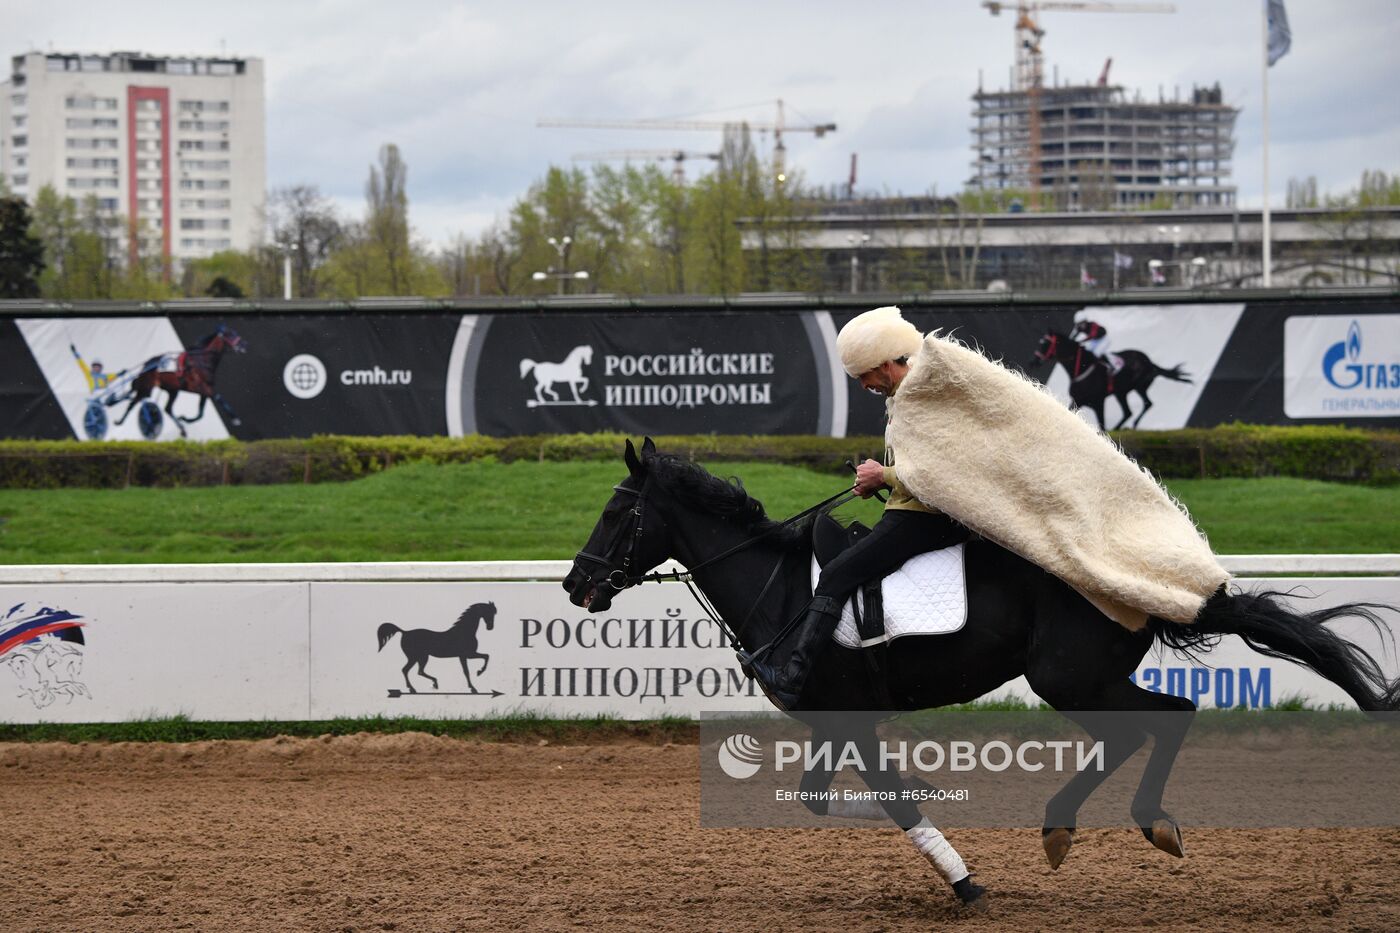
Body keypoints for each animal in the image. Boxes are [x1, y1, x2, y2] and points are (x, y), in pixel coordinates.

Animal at [114, 323, 249, 437]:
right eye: (229, 334)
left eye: (235, 332)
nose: (244, 345)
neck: (201, 361)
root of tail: (147, 364)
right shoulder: (202, 387)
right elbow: (218, 398)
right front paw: (235, 418)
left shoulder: (204, 391)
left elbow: (200, 413)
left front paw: (185, 419)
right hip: (145, 388)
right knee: (132, 403)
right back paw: (120, 421)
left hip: (172, 390)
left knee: (167, 409)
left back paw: (182, 429)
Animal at [562, 442, 1394, 902]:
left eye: (615, 513)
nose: (575, 583)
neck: (787, 591)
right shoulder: (834, 718)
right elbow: (818, 800)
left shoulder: (851, 717)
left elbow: (893, 800)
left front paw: (964, 880)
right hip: (1078, 679)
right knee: (1155, 724)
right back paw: (1082, 825)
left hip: (1069, 677)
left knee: (1160, 720)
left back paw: (1108, 822)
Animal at [1030, 326, 1192, 428]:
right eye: (1040, 343)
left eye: (1045, 343)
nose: (1034, 361)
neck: (1081, 370)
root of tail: (1150, 362)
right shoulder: (1078, 401)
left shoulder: (1098, 402)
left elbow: (1102, 426)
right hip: (1124, 392)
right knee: (1132, 410)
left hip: (1134, 388)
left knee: (1142, 406)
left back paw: (1129, 427)